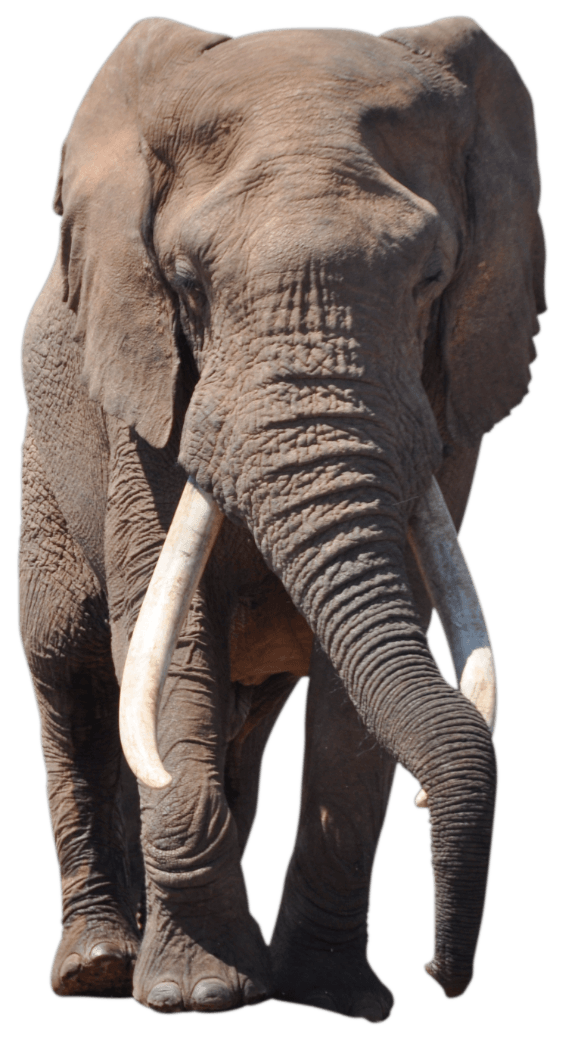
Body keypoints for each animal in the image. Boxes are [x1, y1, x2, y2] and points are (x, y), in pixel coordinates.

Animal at [18, 12, 545, 1021]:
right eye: (186, 280)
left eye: (431, 278)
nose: (443, 974)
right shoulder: (140, 387)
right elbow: (170, 627)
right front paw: (193, 996)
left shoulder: (446, 401)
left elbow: (359, 691)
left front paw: (331, 999)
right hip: (43, 471)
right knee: (70, 668)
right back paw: (102, 966)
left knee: (240, 713)